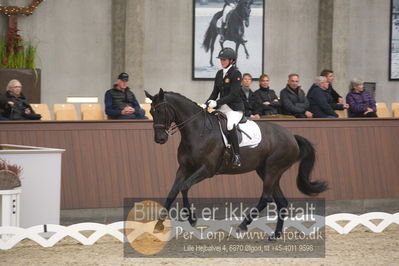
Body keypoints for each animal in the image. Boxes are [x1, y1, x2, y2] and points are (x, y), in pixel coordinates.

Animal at [145, 89, 328, 239]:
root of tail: (292, 137)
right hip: (266, 171)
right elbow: (172, 193)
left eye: (160, 110)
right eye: (152, 112)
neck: (197, 131)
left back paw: (242, 225)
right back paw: (275, 235)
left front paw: (192, 219)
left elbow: (184, 188)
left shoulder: (206, 170)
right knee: (280, 202)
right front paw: (158, 224)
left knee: (266, 197)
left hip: (273, 169)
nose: (159, 139)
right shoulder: (183, 169)